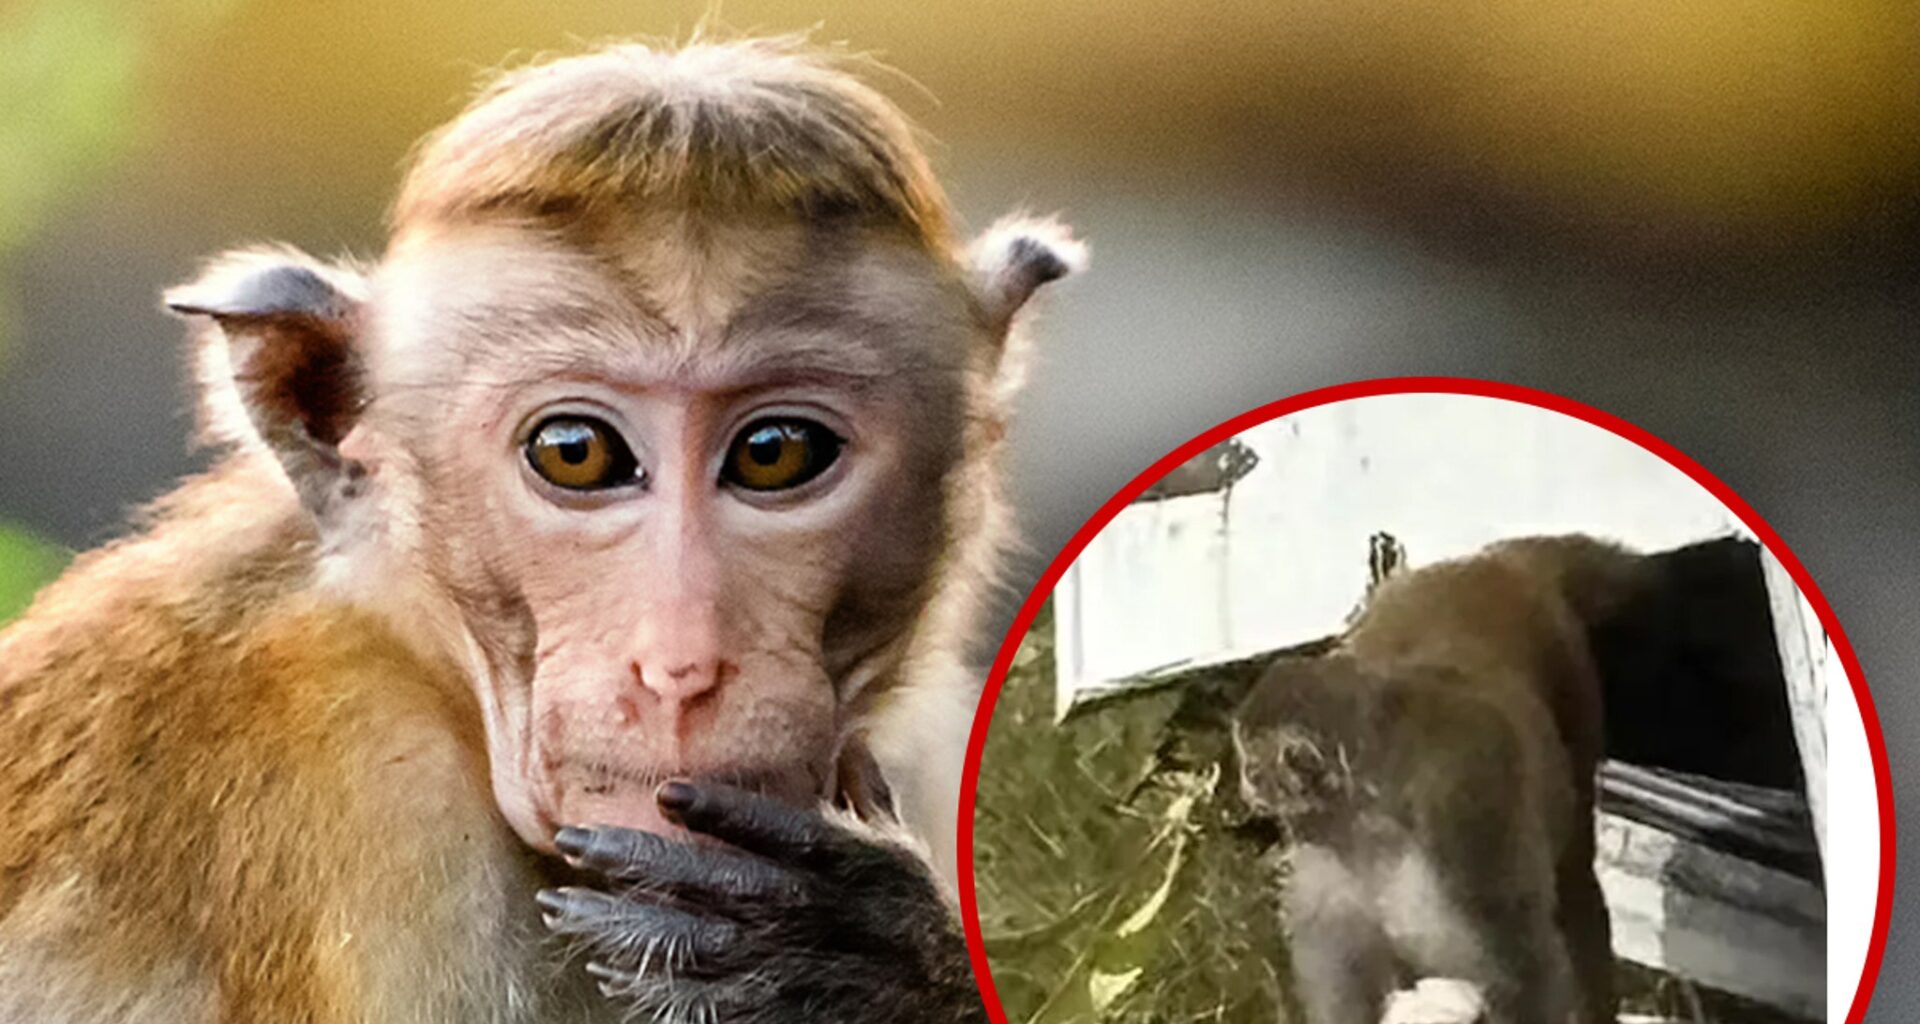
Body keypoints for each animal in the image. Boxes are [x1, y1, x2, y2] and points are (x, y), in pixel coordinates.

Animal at [1231, 534, 1652, 1024]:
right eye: (1246, 758)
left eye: (1256, 765)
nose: (1247, 781)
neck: (1370, 816)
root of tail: (1497, 563)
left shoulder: (1466, 811)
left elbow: (1525, 967)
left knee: (1572, 875)